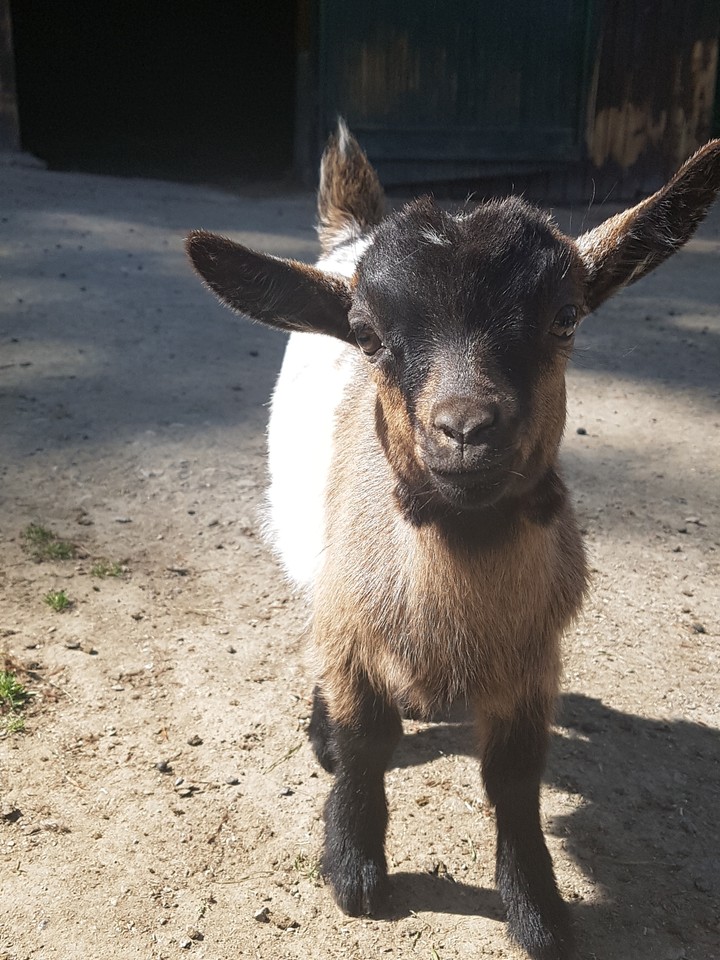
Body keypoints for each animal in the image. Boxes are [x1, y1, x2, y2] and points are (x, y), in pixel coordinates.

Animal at [186, 124, 720, 960]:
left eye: (566, 316)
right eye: (367, 336)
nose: (466, 430)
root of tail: (352, 232)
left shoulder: (531, 657)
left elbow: (515, 777)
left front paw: (537, 910)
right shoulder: (355, 620)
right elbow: (367, 739)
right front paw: (355, 869)